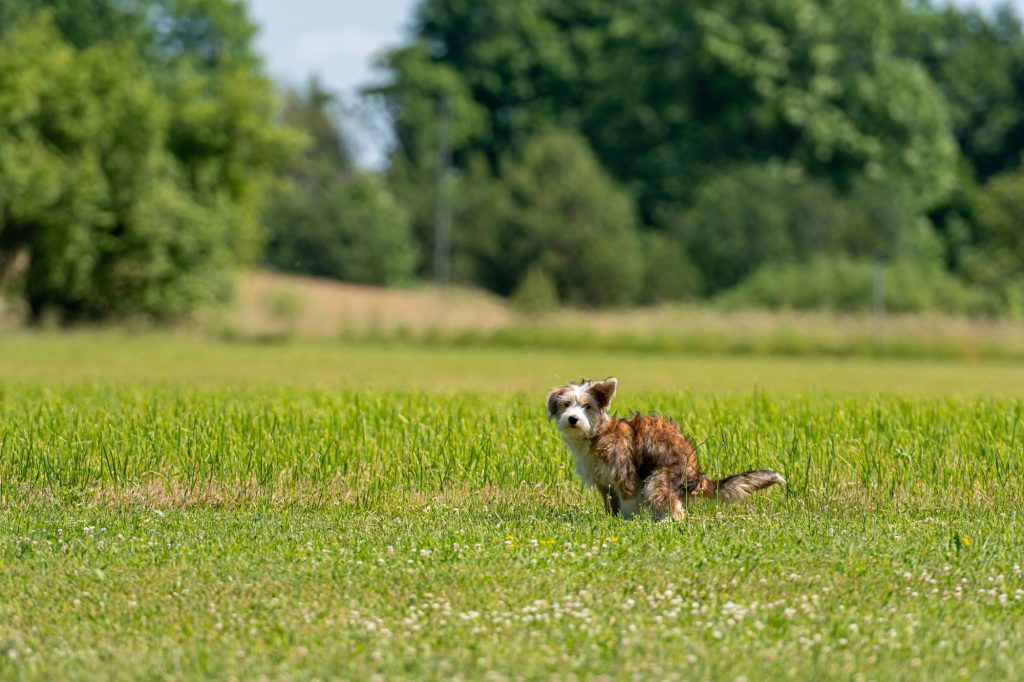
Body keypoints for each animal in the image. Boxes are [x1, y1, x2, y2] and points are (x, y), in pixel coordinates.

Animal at [548, 374, 778, 518]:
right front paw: (611, 519)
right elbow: (610, 503)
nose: (573, 418)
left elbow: (628, 502)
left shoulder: (625, 475)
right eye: (566, 404)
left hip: (659, 479)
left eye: (587, 406)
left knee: (675, 509)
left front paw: (626, 522)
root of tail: (696, 473)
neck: (598, 434)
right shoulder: (603, 482)